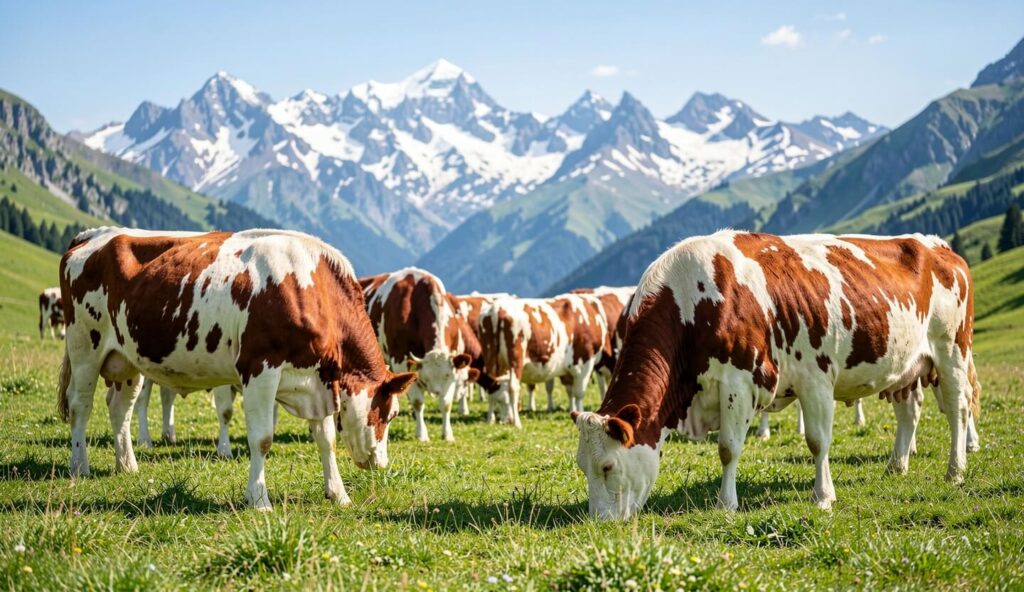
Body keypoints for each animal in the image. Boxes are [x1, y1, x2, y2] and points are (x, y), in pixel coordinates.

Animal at [57, 228, 416, 510]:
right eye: (391, 415)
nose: (381, 464)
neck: (312, 289)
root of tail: (93, 235)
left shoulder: (319, 380)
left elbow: (326, 439)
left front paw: (338, 494)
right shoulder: (260, 368)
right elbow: (262, 439)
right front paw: (258, 499)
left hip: (127, 358)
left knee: (121, 409)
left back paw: (127, 465)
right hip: (84, 346)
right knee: (80, 406)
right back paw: (79, 466)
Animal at [361, 268, 475, 442]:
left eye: (447, 376)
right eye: (426, 378)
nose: (435, 392)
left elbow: (446, 403)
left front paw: (447, 434)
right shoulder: (402, 361)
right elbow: (418, 402)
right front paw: (421, 434)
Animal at [479, 293, 607, 427]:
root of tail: (496, 308)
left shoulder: (568, 370)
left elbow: (570, 391)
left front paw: (573, 411)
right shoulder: (585, 362)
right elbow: (579, 393)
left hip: (492, 359)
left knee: (493, 386)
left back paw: (493, 419)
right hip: (516, 358)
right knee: (513, 388)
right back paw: (517, 422)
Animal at [573, 231, 979, 519]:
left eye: (607, 466)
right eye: (582, 467)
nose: (600, 523)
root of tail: (937, 245)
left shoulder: (793, 379)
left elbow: (757, 446)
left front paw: (818, 497)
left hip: (952, 350)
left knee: (958, 408)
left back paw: (956, 471)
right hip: (906, 366)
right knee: (909, 411)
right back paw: (897, 466)